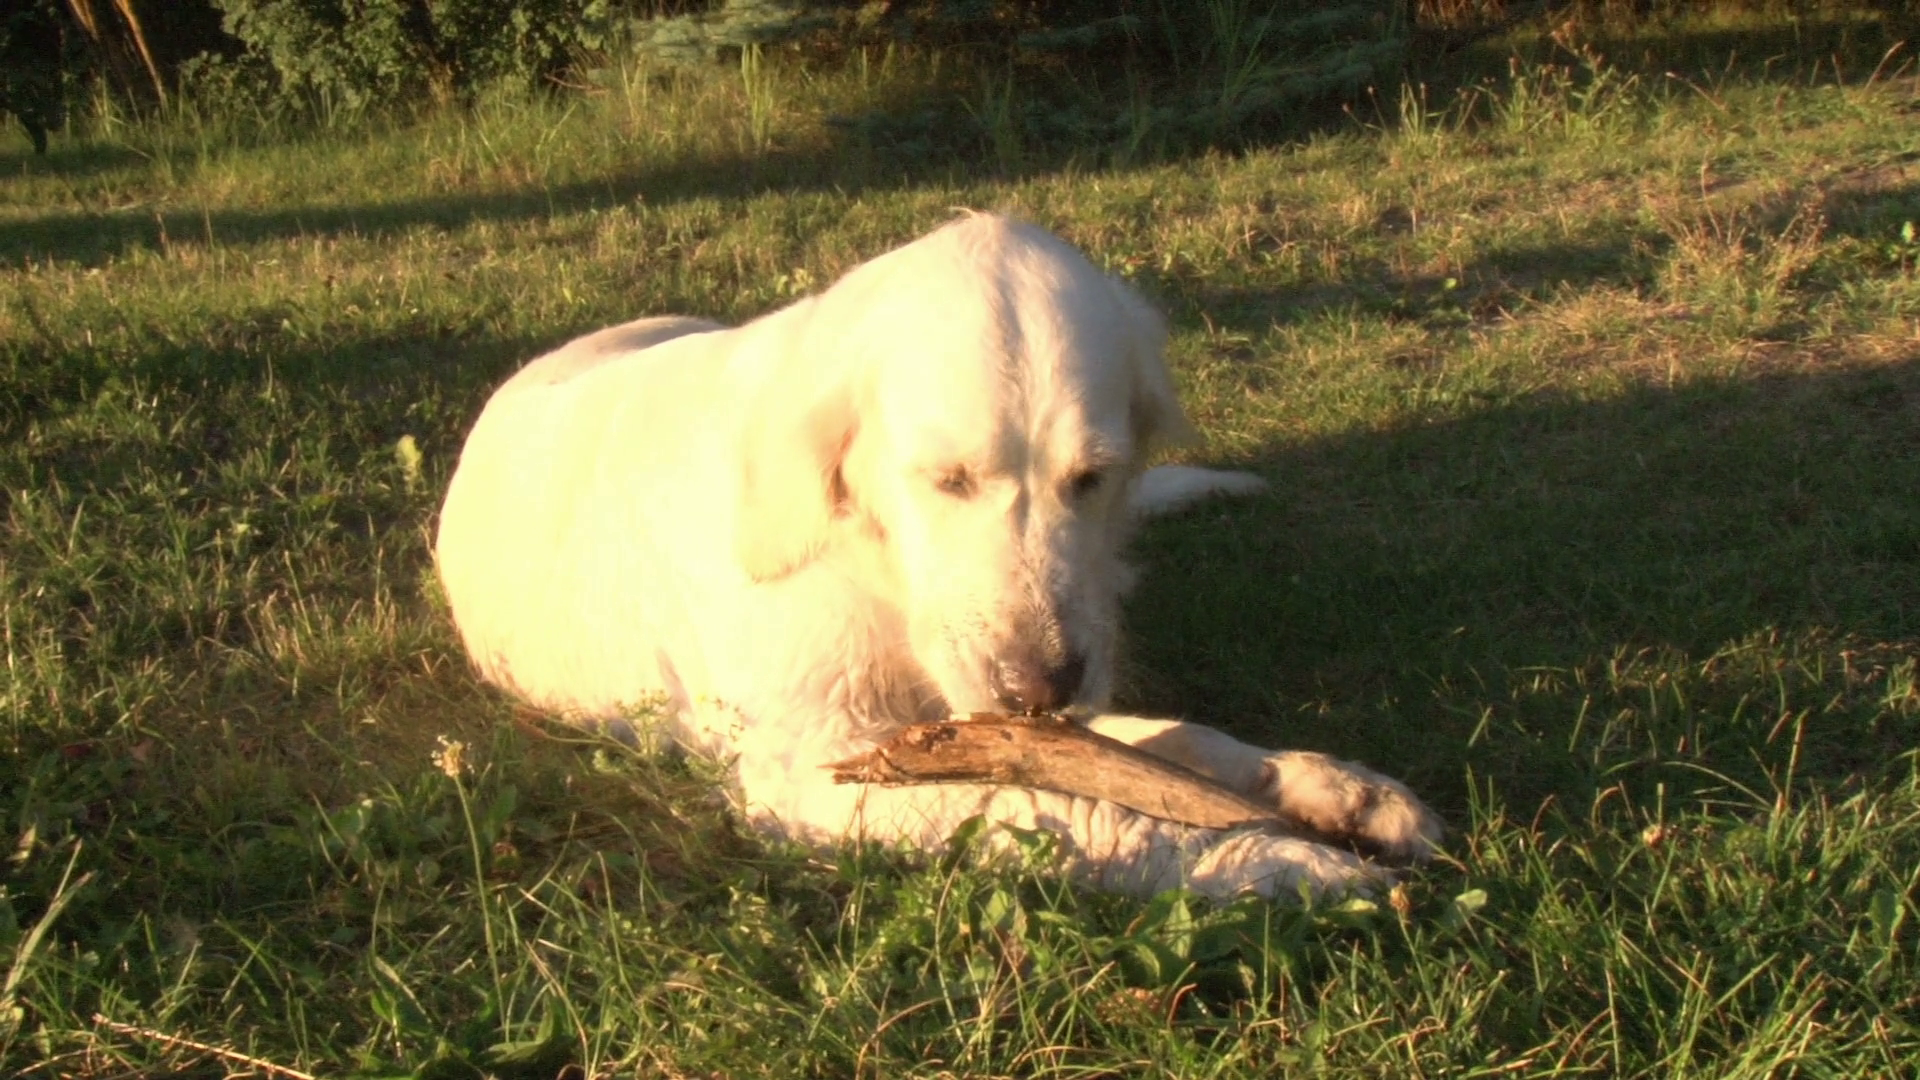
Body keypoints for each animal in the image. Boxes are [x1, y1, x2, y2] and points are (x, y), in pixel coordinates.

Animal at [436, 214, 1441, 898]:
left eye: (1092, 478)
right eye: (947, 480)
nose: (1039, 689)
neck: (872, 564)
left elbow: (1170, 742)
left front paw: (1329, 786)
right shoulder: (816, 772)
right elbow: (1066, 808)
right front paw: (1262, 856)